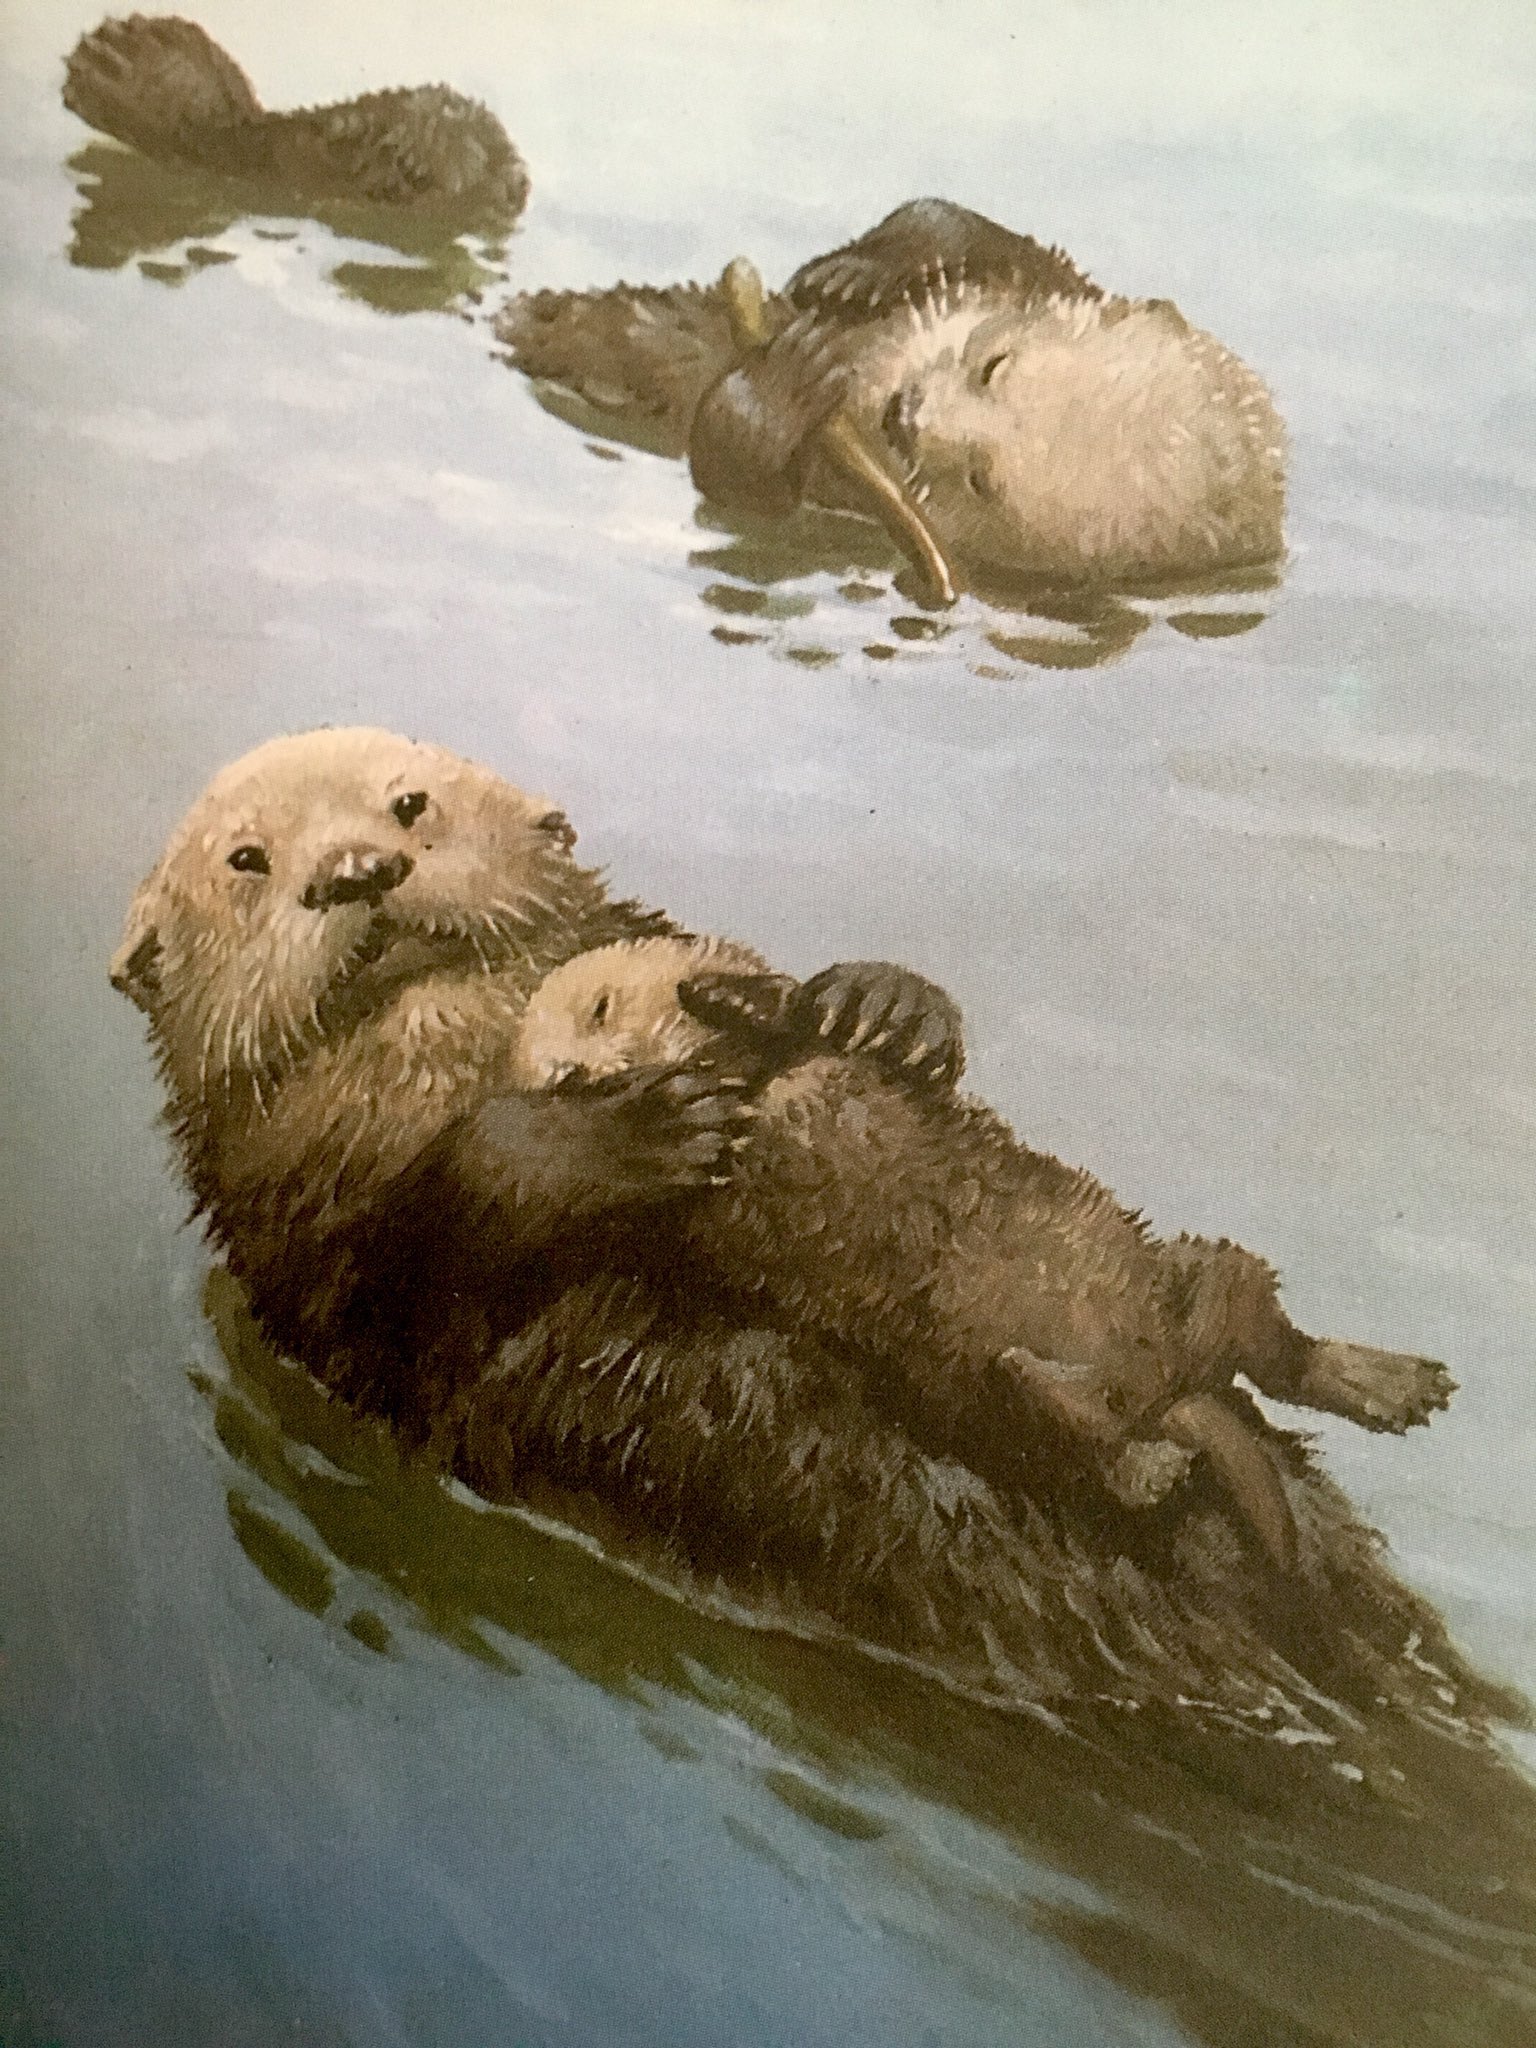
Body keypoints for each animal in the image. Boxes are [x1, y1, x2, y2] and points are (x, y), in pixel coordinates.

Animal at [497, 198, 1286, 598]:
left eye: (982, 477)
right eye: (995, 367)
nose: (907, 414)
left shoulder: (842, 512)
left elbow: (746, 490)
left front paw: (781, 390)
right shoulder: (1053, 275)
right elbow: (974, 231)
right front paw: (860, 269)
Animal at [514, 937, 1455, 1574]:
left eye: (600, 1008)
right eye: (535, 1069)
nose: (566, 1077)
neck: (762, 1091)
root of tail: (1173, 1379)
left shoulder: (792, 1046)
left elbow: (787, 1010)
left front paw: (750, 996)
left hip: (1195, 1273)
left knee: (1274, 1347)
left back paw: (1390, 1383)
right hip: (989, 1395)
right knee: (1086, 1430)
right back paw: (1137, 1451)